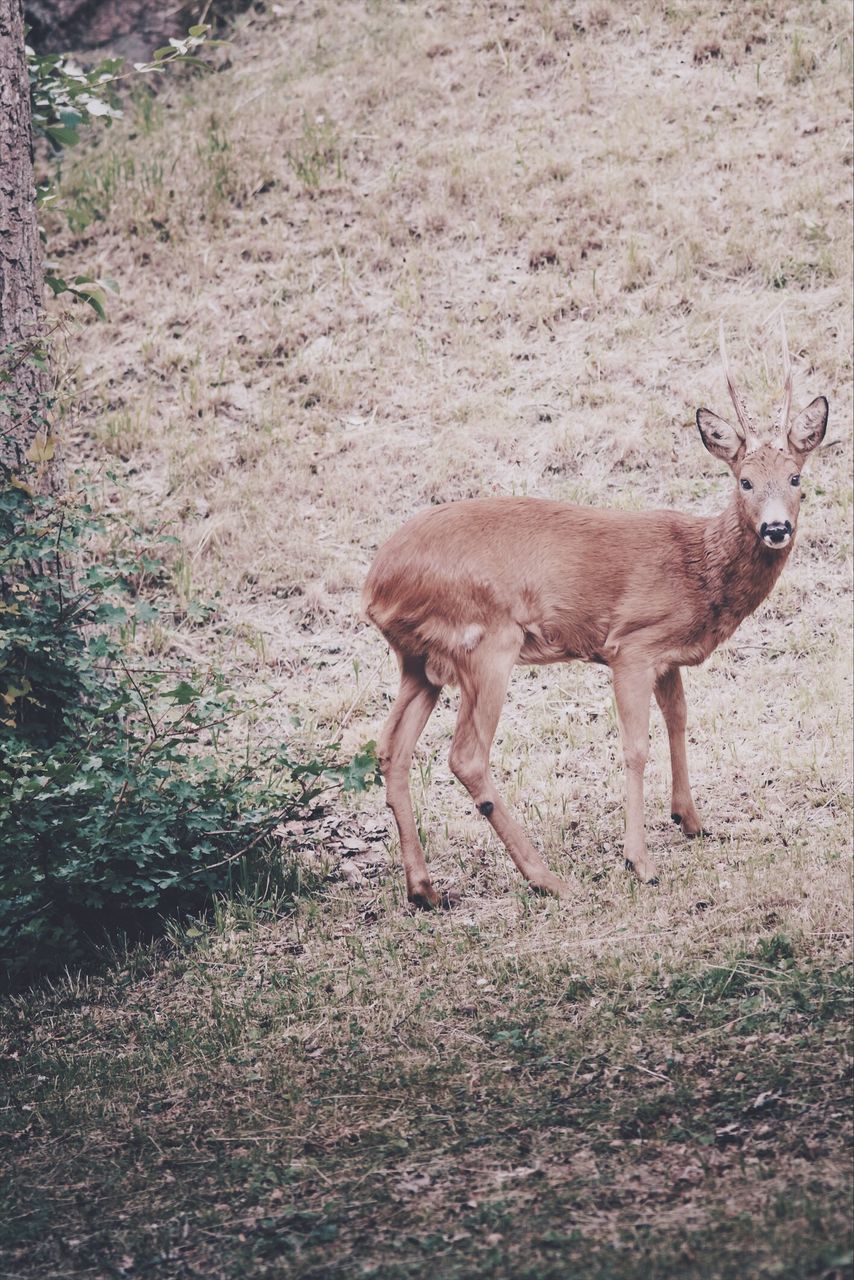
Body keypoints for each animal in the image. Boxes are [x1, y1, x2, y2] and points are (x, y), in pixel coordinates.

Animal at [361, 327, 829, 911]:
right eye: (744, 480)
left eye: (795, 477)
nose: (775, 528)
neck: (698, 570)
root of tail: (375, 585)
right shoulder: (631, 644)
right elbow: (635, 746)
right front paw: (640, 862)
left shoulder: (666, 656)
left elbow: (679, 719)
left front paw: (692, 820)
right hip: (486, 642)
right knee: (466, 755)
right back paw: (546, 878)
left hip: (420, 661)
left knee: (390, 749)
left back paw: (424, 888)